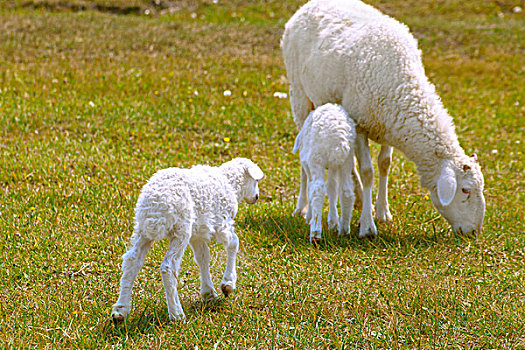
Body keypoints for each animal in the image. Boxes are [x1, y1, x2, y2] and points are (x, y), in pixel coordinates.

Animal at [112, 157, 264, 322]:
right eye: (256, 181)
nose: (256, 197)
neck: (230, 183)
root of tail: (155, 207)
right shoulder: (222, 223)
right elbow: (233, 243)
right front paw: (228, 284)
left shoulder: (197, 232)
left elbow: (203, 256)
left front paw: (208, 293)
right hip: (181, 228)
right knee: (168, 267)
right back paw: (176, 315)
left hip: (143, 228)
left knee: (132, 260)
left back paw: (120, 311)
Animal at [290, 102, 356, 242]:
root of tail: (339, 140)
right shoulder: (333, 166)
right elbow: (332, 188)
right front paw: (333, 222)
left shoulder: (308, 165)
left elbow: (310, 188)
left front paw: (309, 217)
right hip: (348, 158)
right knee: (346, 191)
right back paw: (344, 230)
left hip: (317, 158)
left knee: (317, 190)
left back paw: (315, 232)